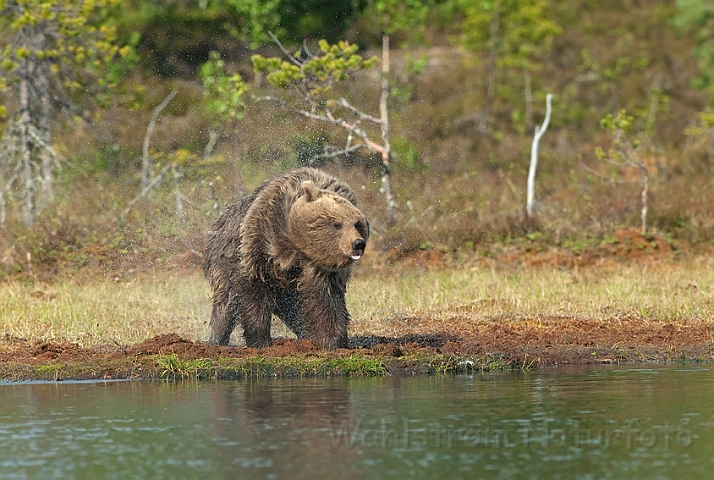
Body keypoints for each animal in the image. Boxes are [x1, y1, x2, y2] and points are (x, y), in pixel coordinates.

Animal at [200, 168, 368, 348]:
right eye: (337, 224)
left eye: (357, 224)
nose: (358, 243)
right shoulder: (261, 243)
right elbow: (253, 289)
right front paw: (260, 341)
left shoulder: (320, 269)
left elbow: (325, 298)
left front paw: (332, 340)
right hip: (223, 261)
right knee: (225, 303)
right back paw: (217, 339)